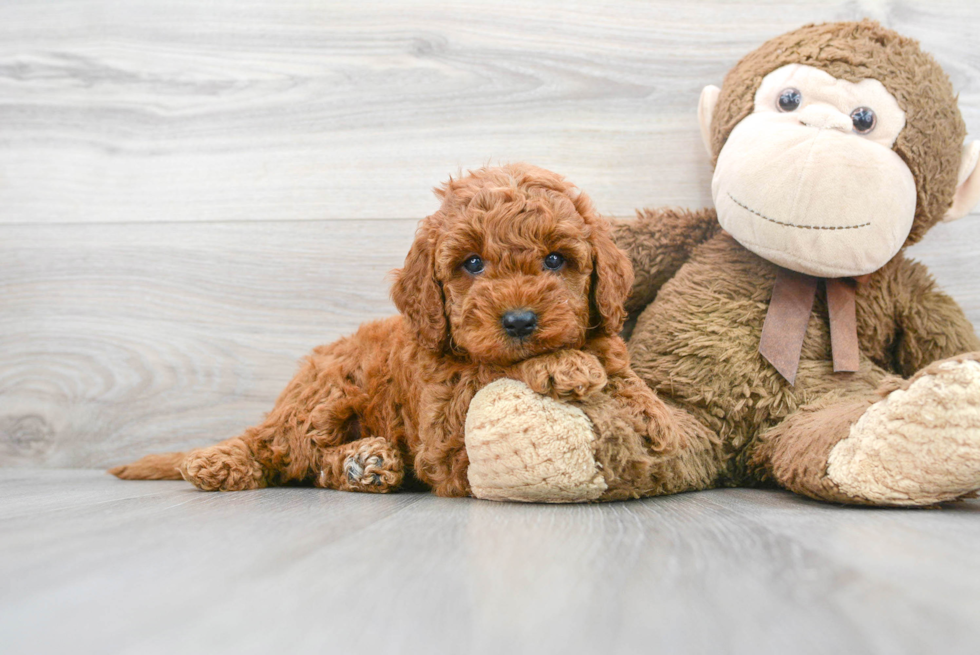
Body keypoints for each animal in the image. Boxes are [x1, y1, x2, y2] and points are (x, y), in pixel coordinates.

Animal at [107, 165, 672, 498]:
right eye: (472, 263)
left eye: (556, 259)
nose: (518, 321)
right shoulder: (445, 432)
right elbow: (492, 369)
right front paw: (563, 363)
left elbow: (626, 382)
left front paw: (651, 413)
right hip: (325, 393)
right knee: (275, 446)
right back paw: (215, 463)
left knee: (310, 463)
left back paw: (367, 464)